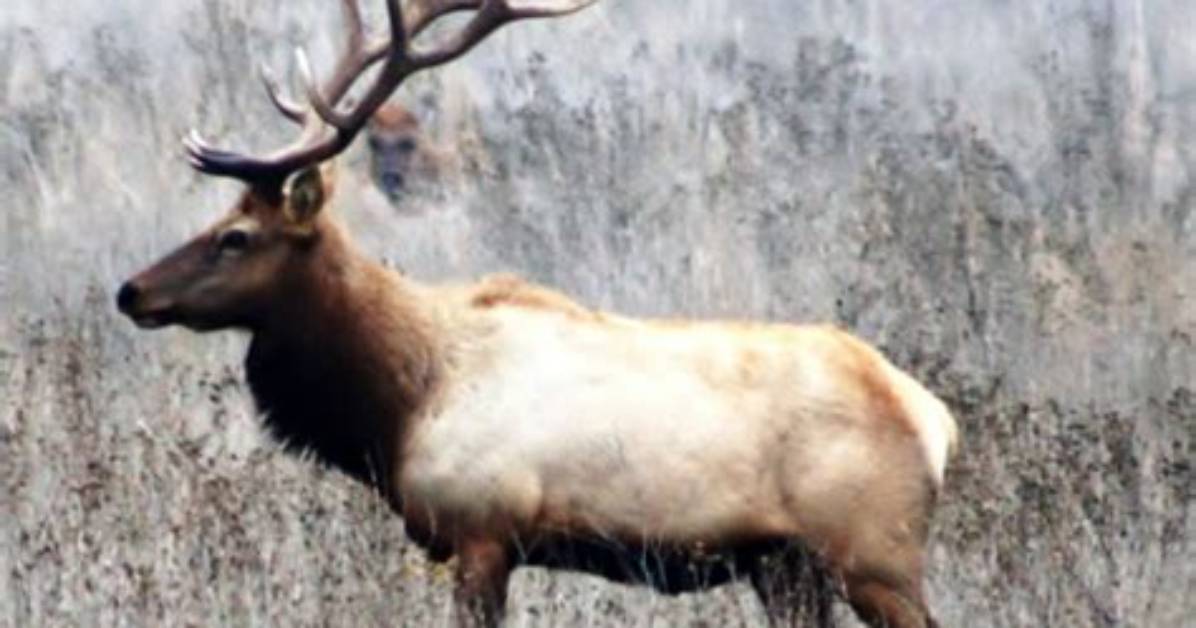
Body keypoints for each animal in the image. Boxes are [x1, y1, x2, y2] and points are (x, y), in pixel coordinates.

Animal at [115, 1, 960, 626]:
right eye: (220, 220)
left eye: (236, 237)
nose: (131, 291)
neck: (399, 405)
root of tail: (935, 420)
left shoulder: (484, 531)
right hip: (786, 564)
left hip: (875, 553)